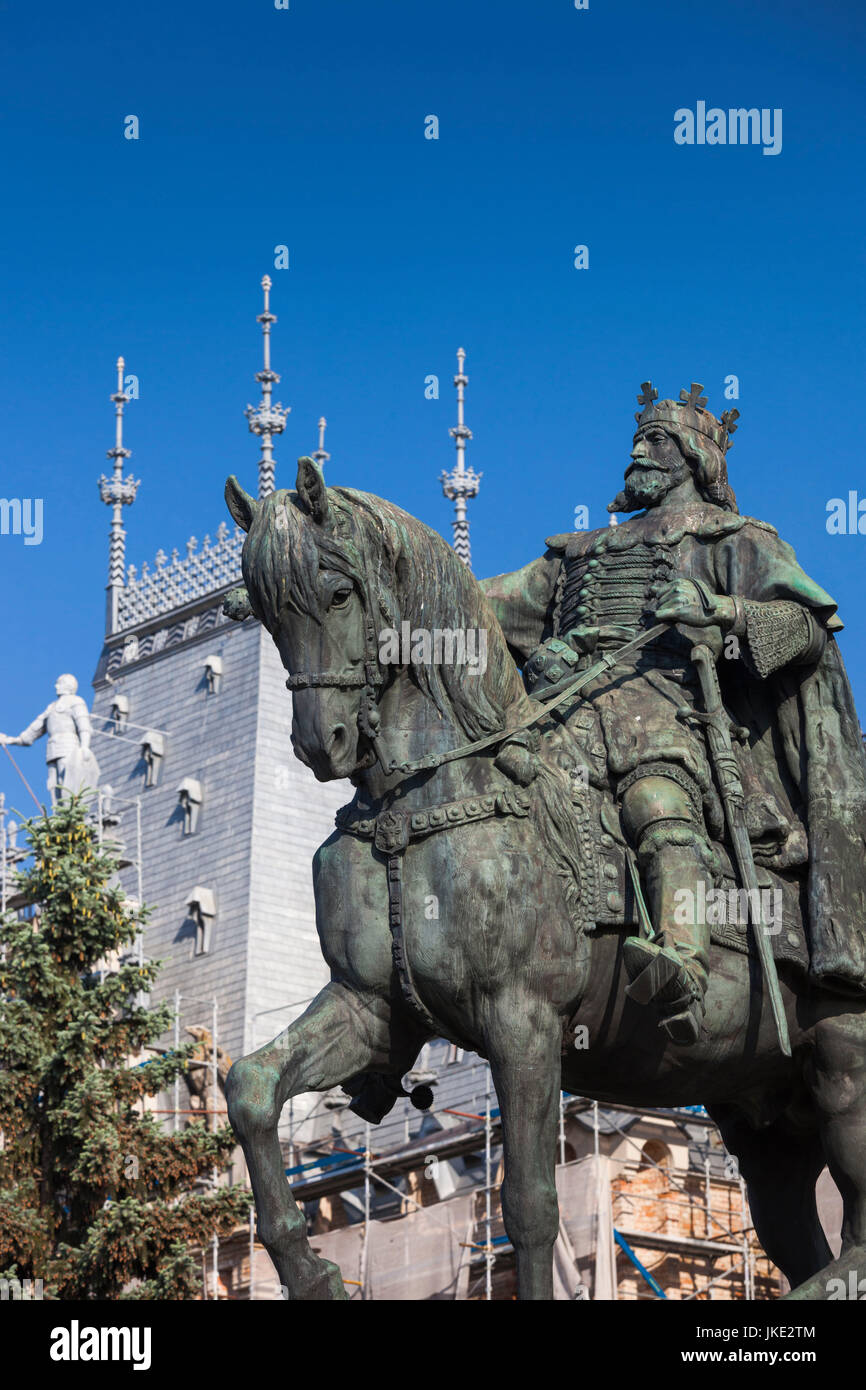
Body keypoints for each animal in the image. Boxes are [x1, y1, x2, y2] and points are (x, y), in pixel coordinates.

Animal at [222, 458, 866, 1301]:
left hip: (843, 1066)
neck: (419, 803)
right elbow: (251, 1086)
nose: (319, 743)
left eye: (336, 592)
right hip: (768, 1121)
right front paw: (309, 1268)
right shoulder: (368, 1010)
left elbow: (528, 1203)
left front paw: (698, 610)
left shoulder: (522, 1020)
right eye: (264, 611)